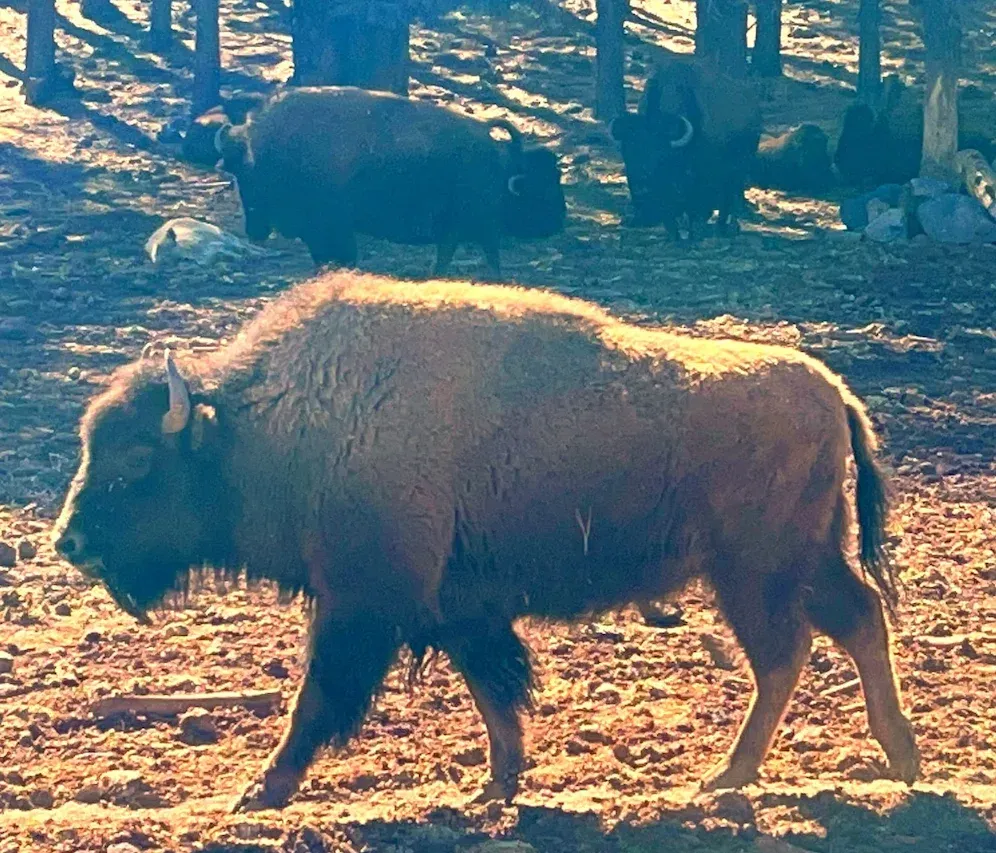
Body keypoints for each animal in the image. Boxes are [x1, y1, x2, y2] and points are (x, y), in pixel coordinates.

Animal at [55, 271, 919, 811]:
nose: (70, 541)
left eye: (137, 461)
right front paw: (496, 784)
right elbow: (493, 689)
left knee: (785, 653)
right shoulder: (457, 606)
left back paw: (729, 777)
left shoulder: (362, 605)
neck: (272, 421)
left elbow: (319, 699)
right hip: (803, 559)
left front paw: (257, 791)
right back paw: (897, 758)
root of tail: (832, 389)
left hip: (755, 571)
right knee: (855, 623)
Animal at [611, 60, 762, 237]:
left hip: (739, 168)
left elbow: (696, 210)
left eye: (661, 157)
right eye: (627, 154)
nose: (641, 188)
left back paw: (723, 228)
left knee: (729, 197)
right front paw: (675, 235)